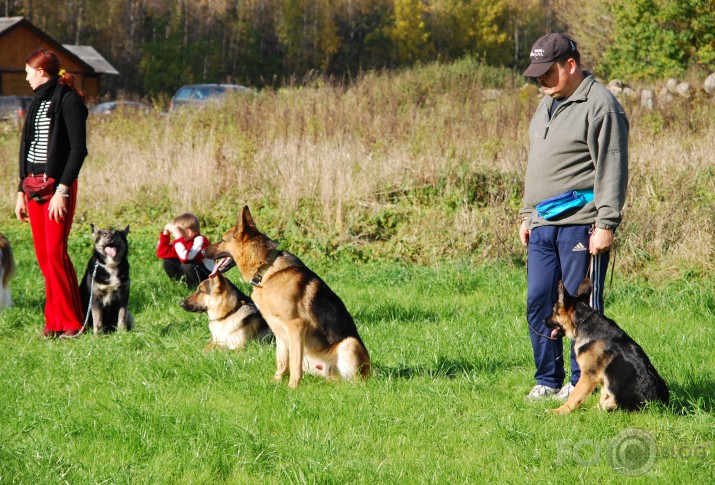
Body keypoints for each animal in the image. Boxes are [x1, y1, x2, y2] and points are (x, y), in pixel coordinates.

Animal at [201, 206, 370, 388]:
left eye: (222, 239)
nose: (202, 251)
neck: (266, 270)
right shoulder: (279, 330)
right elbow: (282, 361)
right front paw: (276, 382)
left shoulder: (295, 326)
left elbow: (294, 364)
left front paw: (292, 388)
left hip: (350, 344)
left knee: (354, 382)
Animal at [544, 276, 668, 412]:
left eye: (554, 311)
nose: (543, 321)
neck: (583, 322)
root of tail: (656, 404)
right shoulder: (602, 378)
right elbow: (602, 394)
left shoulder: (589, 375)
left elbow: (575, 395)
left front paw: (560, 411)